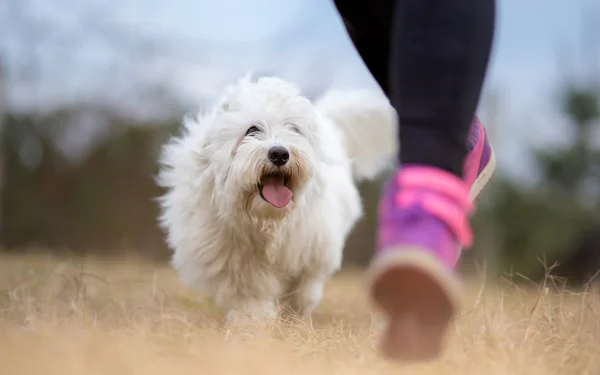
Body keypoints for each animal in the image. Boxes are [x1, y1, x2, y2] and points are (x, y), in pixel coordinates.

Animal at [157, 75, 396, 324]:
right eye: (252, 129)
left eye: (294, 129)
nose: (280, 154)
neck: (265, 220)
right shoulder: (233, 259)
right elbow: (249, 295)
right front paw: (252, 321)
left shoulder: (309, 247)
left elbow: (302, 289)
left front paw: (293, 319)